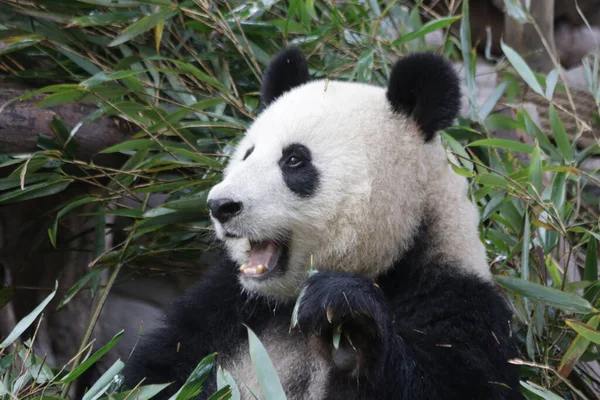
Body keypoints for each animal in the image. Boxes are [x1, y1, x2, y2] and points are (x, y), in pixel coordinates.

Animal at [123, 47, 524, 400]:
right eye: (248, 154)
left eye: (294, 160)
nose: (221, 205)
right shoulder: (225, 306)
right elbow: (157, 374)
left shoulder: (458, 303)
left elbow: (463, 383)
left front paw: (350, 326)